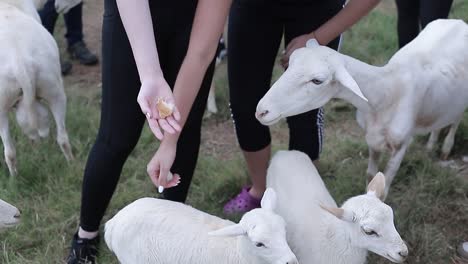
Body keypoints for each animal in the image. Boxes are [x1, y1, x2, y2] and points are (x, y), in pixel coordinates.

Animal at [256, 19, 468, 198]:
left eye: (317, 80)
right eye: (290, 62)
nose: (261, 111)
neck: (387, 92)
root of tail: (458, 21)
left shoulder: (401, 145)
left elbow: (383, 189)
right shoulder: (372, 139)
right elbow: (370, 177)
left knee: (456, 119)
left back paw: (446, 148)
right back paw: (431, 144)